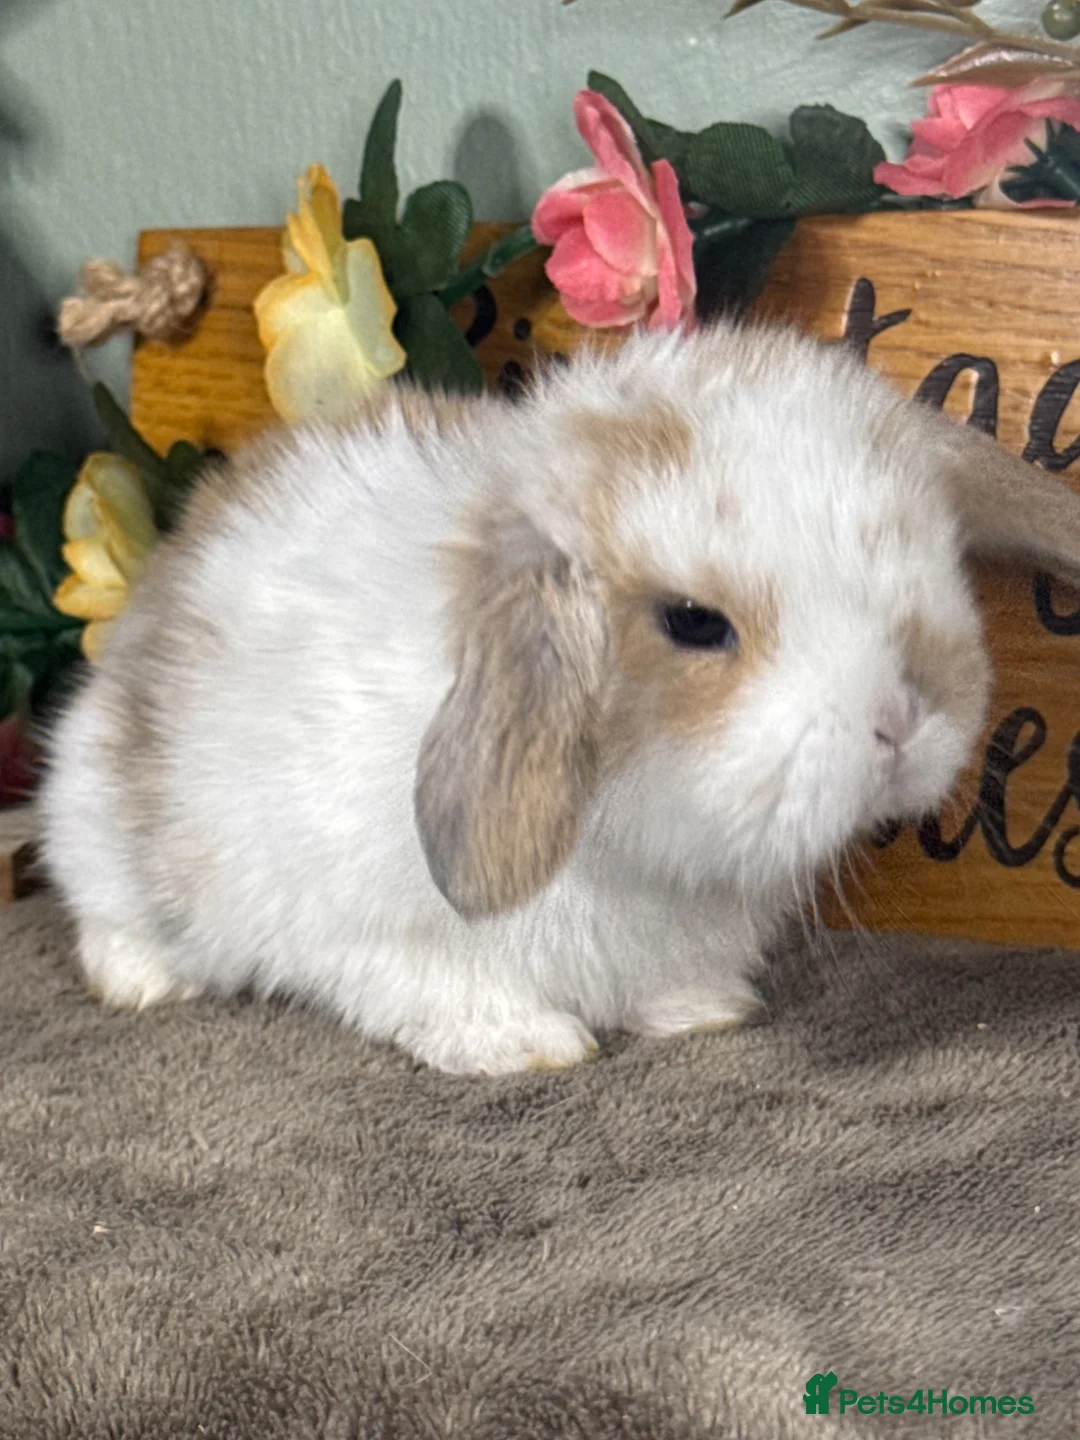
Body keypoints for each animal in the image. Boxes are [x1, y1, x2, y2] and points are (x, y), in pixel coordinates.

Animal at [37, 320, 1080, 1075]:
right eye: (694, 622)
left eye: (932, 556)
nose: (903, 719)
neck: (630, 838)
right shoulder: (373, 933)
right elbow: (435, 990)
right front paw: (525, 1047)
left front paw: (701, 1012)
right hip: (96, 819)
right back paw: (144, 982)